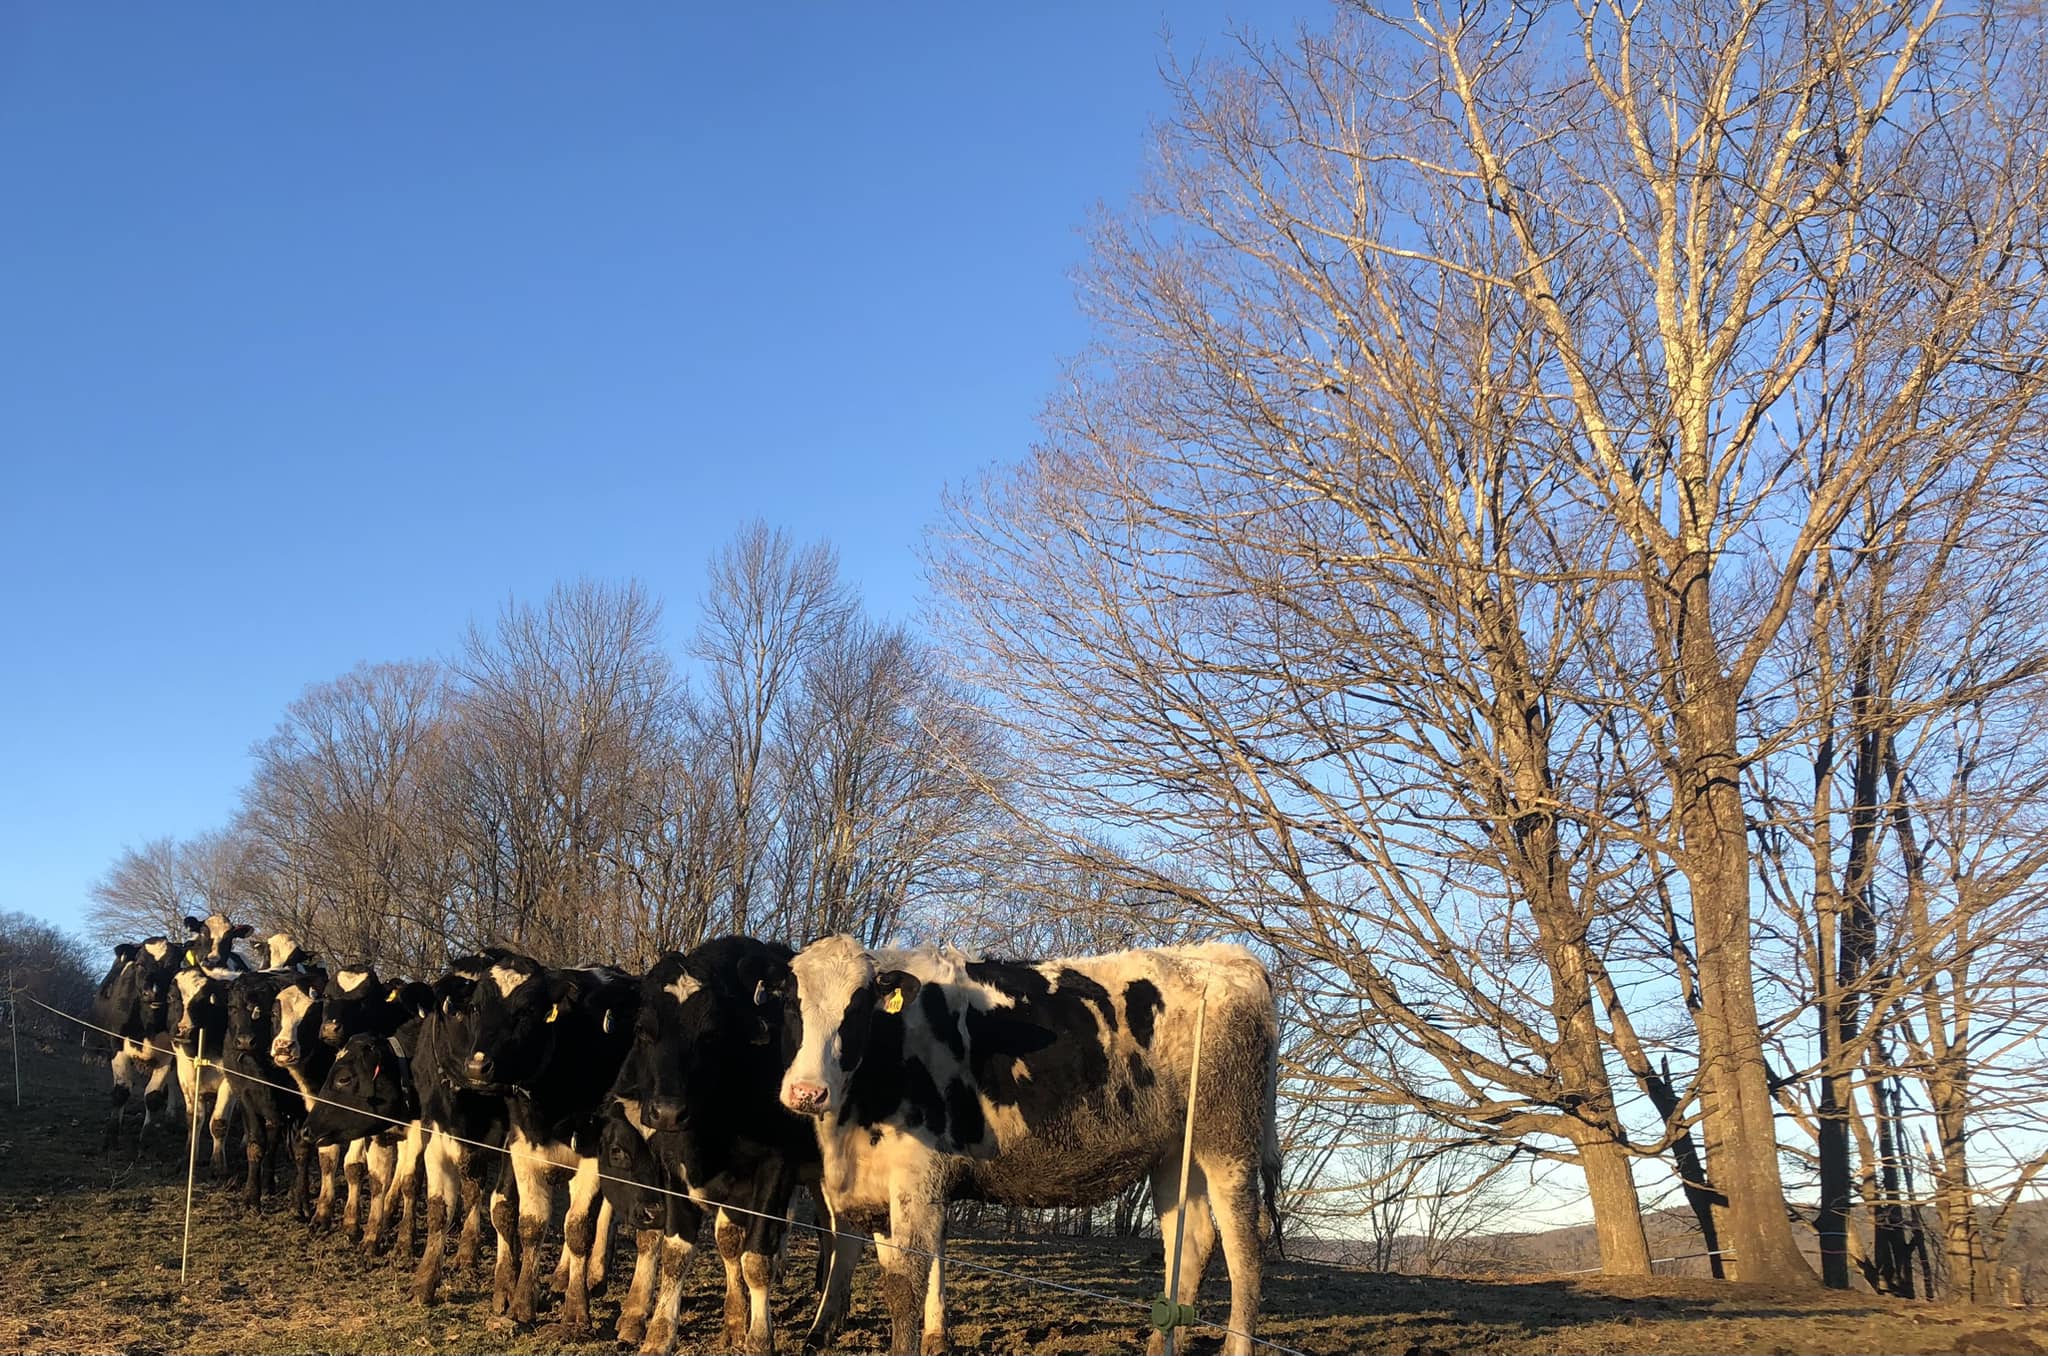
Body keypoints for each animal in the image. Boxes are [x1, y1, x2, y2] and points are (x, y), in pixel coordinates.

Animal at [452, 950, 634, 1335]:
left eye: (526, 1011)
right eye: (476, 1008)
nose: (477, 1067)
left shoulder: (593, 1149)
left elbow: (579, 1227)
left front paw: (576, 1313)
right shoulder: (523, 1146)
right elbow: (531, 1224)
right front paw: (522, 1304)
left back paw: (592, 1275)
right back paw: (562, 1276)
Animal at [770, 942, 1277, 1356]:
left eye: (856, 1009)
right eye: (792, 1005)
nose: (807, 1092)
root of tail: (1226, 956)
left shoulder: (918, 1177)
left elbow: (904, 1284)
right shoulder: (877, 1184)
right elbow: (892, 1266)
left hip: (1228, 1142)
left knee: (1246, 1250)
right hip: (1175, 1153)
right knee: (1190, 1243)